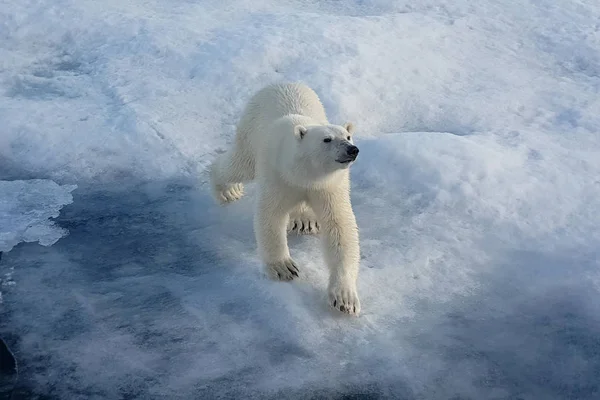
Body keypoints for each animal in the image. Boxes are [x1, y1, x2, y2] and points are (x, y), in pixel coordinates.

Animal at [211, 83, 360, 316]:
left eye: (348, 136)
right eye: (326, 139)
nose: (352, 150)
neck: (304, 173)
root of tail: (279, 83)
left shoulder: (329, 186)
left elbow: (340, 228)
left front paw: (345, 298)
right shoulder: (278, 174)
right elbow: (270, 215)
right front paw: (283, 267)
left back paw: (304, 220)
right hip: (251, 132)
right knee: (238, 164)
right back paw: (227, 189)